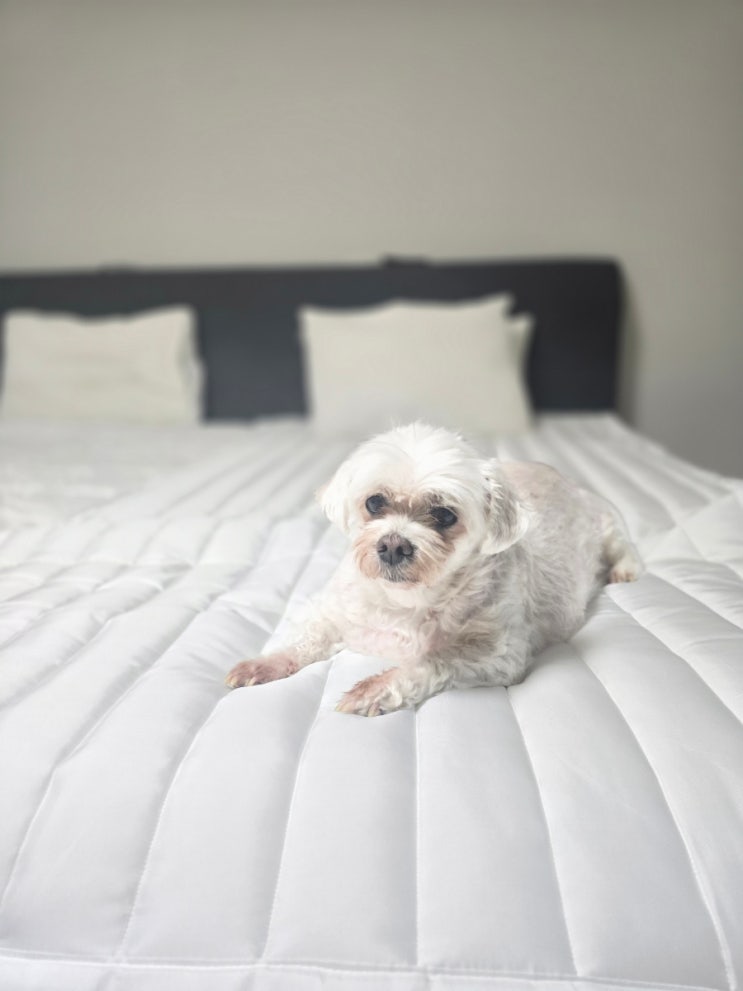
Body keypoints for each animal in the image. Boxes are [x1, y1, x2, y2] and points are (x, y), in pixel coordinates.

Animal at [226, 422, 641, 715]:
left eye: (444, 515)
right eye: (374, 503)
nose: (393, 545)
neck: (406, 600)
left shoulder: (498, 655)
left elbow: (428, 662)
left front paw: (374, 688)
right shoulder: (332, 612)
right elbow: (302, 639)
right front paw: (263, 664)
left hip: (607, 522)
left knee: (624, 547)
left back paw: (624, 571)